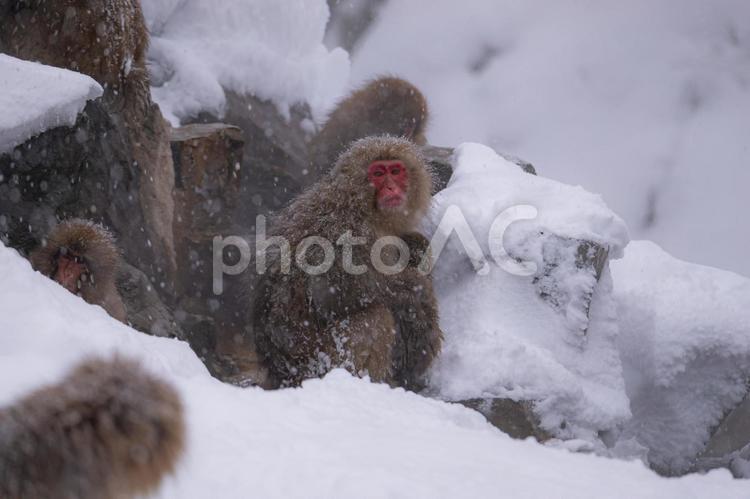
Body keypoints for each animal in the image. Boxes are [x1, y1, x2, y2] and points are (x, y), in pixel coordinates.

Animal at [252, 136, 443, 390]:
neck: (364, 207)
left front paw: (414, 244)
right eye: (378, 173)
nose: (391, 188)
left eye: (396, 171)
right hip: (317, 362)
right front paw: (416, 289)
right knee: (375, 319)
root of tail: (278, 374)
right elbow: (334, 287)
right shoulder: (345, 229)